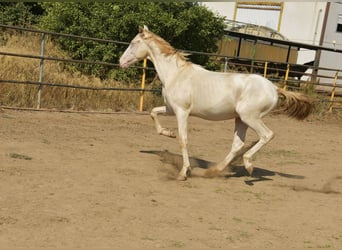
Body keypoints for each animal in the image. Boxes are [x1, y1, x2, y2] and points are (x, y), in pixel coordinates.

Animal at [119, 26, 312, 181]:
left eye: (133, 43)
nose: (121, 62)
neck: (176, 74)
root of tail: (274, 88)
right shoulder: (170, 109)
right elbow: (153, 113)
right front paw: (169, 133)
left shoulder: (182, 112)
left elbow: (183, 140)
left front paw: (183, 173)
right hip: (240, 119)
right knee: (238, 144)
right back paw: (213, 171)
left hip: (250, 117)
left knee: (267, 135)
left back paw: (248, 166)